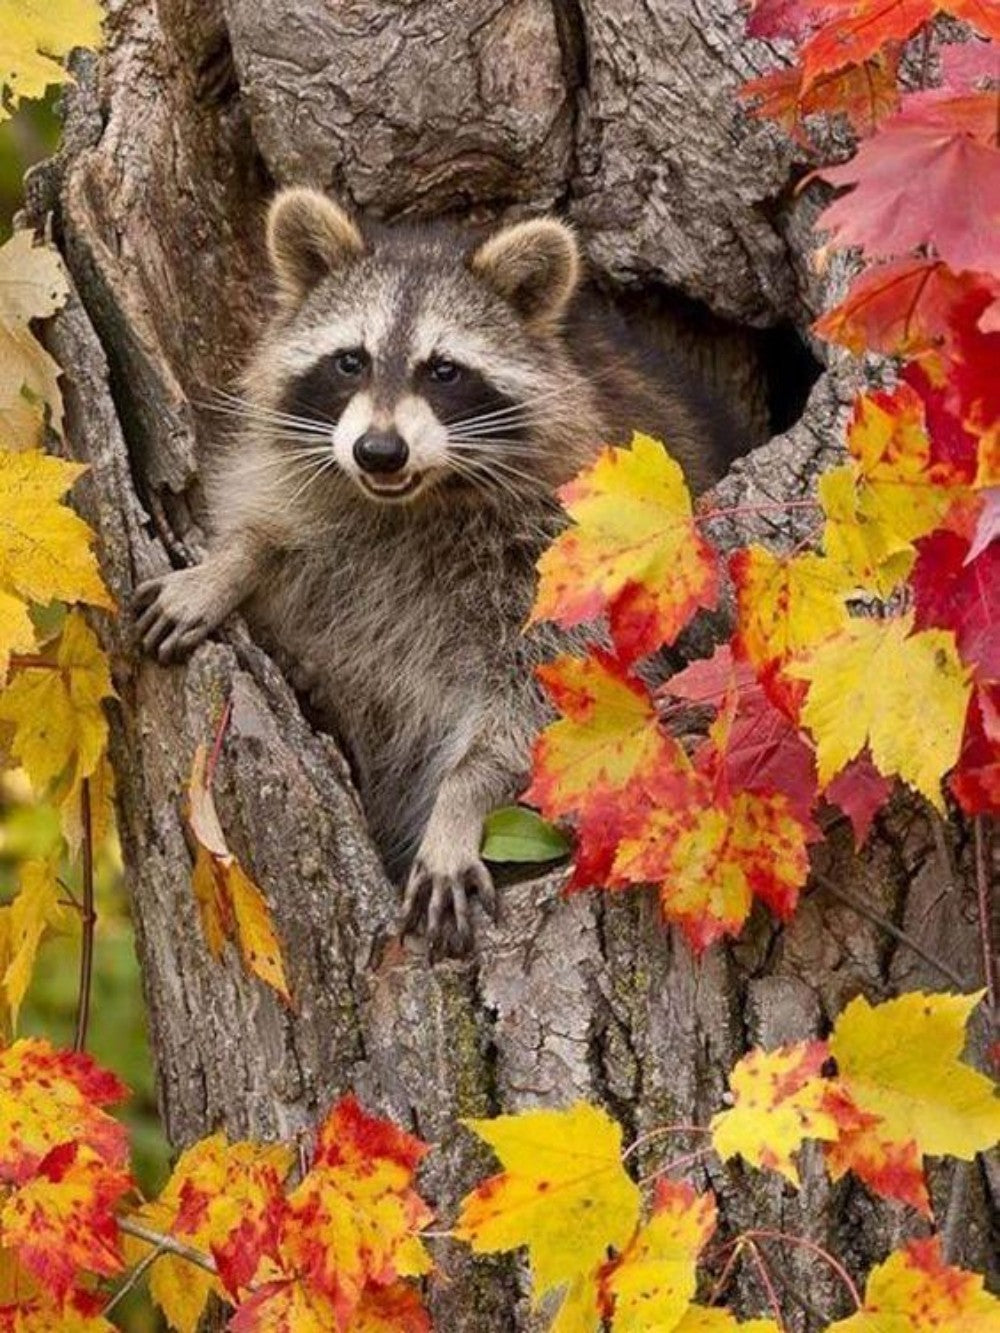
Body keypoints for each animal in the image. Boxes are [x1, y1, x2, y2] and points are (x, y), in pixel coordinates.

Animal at [135, 188, 736, 955]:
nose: (379, 450)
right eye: (351, 361)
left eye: (444, 370)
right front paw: (227, 565)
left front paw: (458, 805)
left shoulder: (560, 555)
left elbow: (540, 705)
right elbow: (272, 525)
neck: (416, 500)